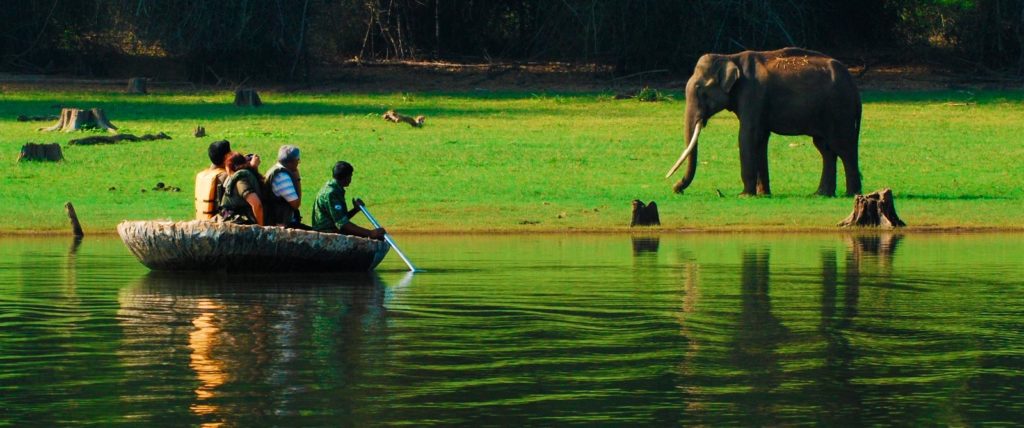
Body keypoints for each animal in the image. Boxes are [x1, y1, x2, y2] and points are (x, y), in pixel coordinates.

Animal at [663, 48, 864, 197]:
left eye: (700, 90)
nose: (676, 187)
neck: (730, 57)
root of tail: (855, 87)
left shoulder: (752, 93)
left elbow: (747, 135)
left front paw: (744, 195)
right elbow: (760, 138)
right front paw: (763, 194)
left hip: (840, 108)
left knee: (843, 147)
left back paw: (851, 194)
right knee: (825, 148)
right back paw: (821, 194)